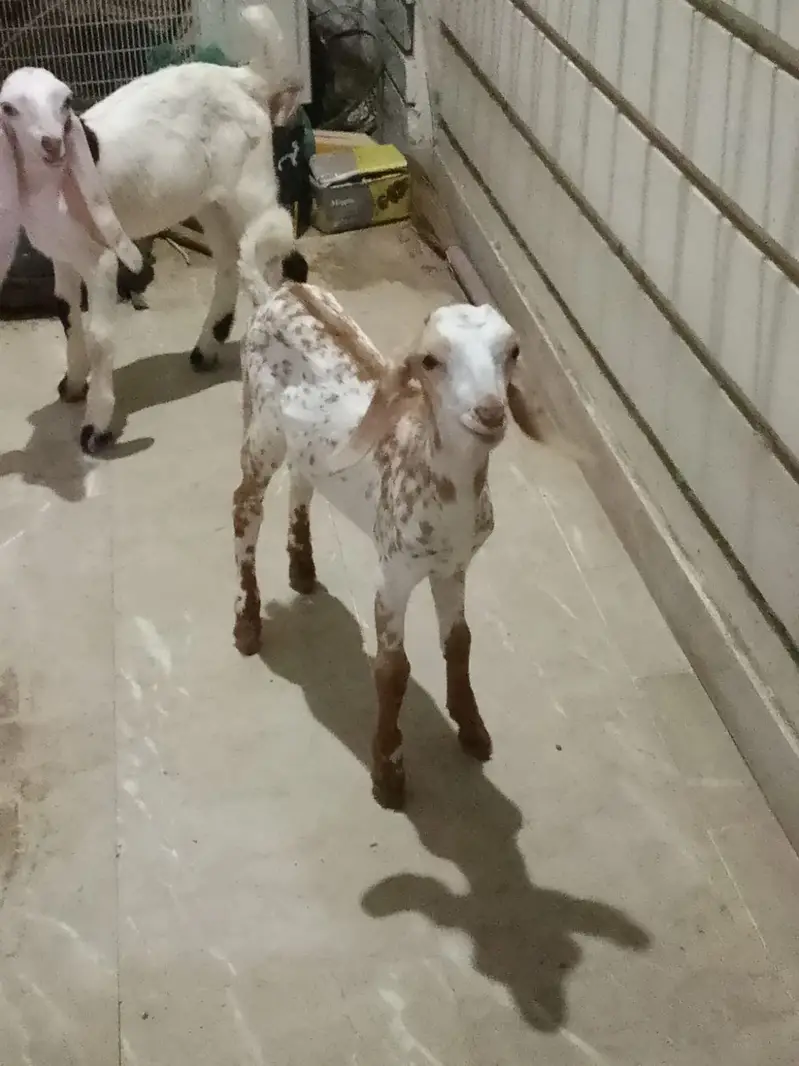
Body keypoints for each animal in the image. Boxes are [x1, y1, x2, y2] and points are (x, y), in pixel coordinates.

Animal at [0, 3, 305, 454]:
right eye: (9, 109)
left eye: (65, 102)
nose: (52, 144)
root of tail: (243, 78)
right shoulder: (62, 257)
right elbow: (66, 314)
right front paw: (72, 385)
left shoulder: (100, 260)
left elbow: (100, 336)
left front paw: (96, 428)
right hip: (207, 199)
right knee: (228, 261)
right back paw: (206, 348)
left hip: (250, 184)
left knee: (269, 257)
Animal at [232, 261, 541, 809]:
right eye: (430, 360)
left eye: (513, 352)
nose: (489, 412)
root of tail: (276, 292)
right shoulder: (395, 573)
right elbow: (392, 670)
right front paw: (389, 773)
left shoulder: (453, 567)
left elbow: (460, 641)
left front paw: (472, 729)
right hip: (259, 429)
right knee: (244, 507)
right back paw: (247, 624)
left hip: (302, 443)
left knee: (302, 479)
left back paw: (302, 568)